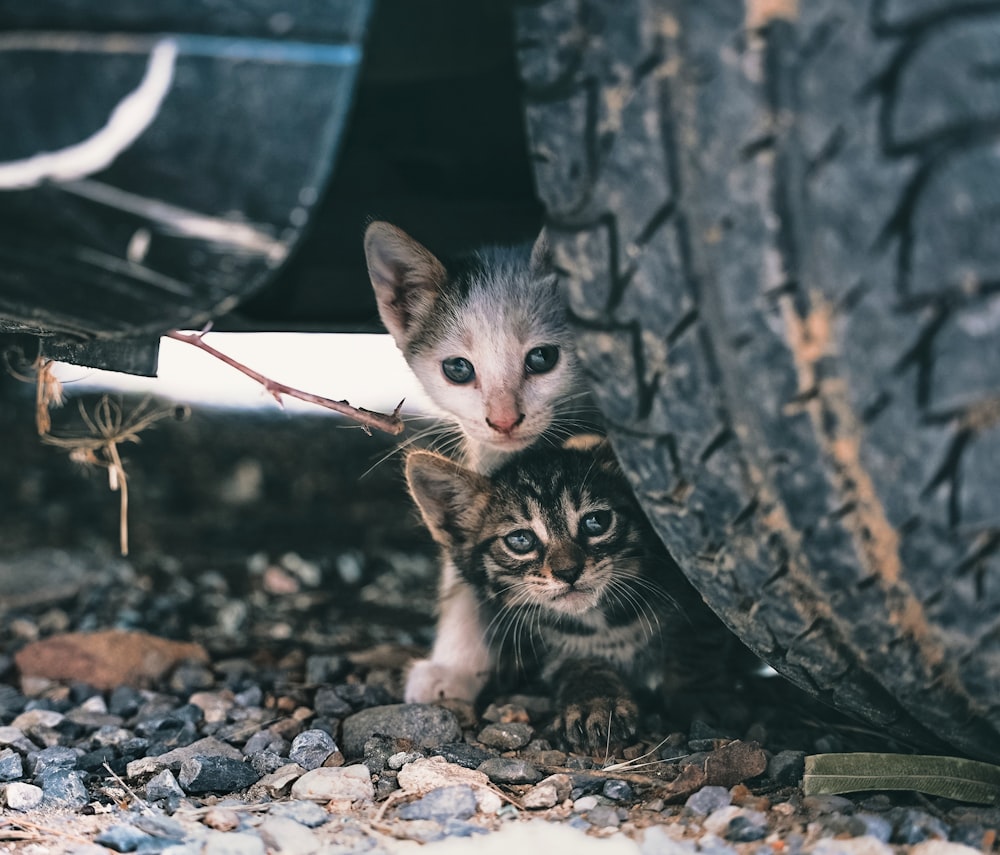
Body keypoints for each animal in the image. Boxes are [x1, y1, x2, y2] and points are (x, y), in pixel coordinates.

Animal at [406, 438, 728, 752]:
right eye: (520, 539)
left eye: (596, 521)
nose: (568, 571)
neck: (604, 625)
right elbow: (580, 664)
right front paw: (594, 700)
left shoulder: (695, 611)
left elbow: (696, 653)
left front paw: (704, 700)